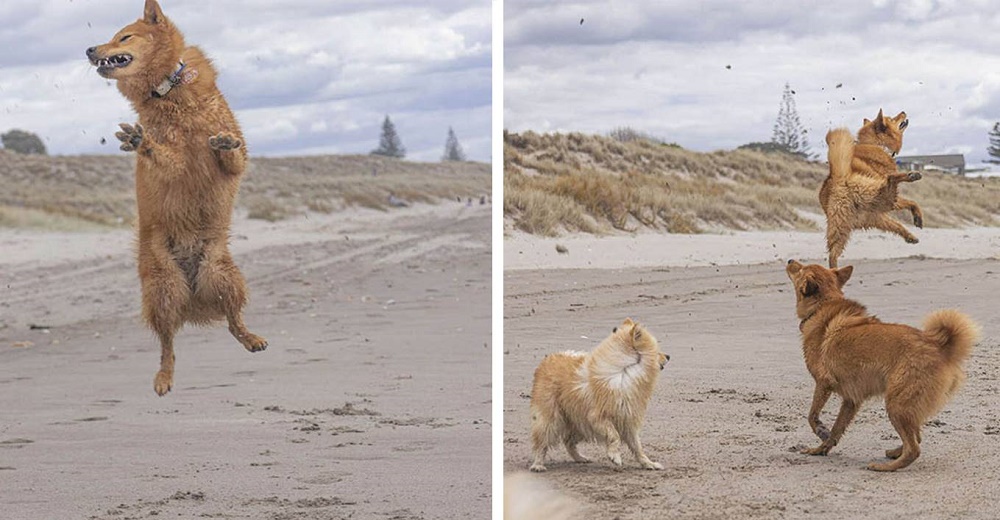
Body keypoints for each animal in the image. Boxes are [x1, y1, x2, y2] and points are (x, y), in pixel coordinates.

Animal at [528, 316, 668, 472]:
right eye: (657, 351)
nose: (668, 356)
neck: (624, 371)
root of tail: (547, 359)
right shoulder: (598, 417)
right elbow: (614, 435)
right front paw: (615, 456)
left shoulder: (627, 419)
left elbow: (637, 446)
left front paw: (648, 463)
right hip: (550, 419)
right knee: (542, 442)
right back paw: (538, 465)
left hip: (578, 423)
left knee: (568, 441)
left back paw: (580, 458)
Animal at [784, 260, 972, 472]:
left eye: (800, 269)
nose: (790, 260)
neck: (823, 305)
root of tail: (939, 346)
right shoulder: (851, 400)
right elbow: (837, 429)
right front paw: (821, 448)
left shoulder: (823, 383)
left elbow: (812, 416)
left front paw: (821, 431)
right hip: (905, 405)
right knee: (916, 436)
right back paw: (895, 453)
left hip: (896, 403)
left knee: (914, 448)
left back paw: (885, 467)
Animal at [820, 107, 920, 266]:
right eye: (891, 119)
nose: (903, 112)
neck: (877, 145)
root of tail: (838, 177)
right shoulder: (892, 201)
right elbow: (911, 201)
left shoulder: (885, 208)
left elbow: (910, 205)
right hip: (877, 198)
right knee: (891, 179)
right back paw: (911, 176)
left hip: (865, 218)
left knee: (833, 254)